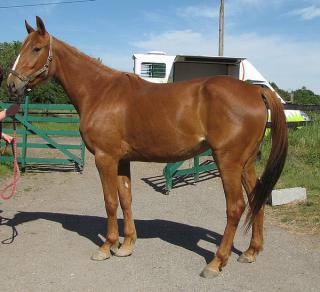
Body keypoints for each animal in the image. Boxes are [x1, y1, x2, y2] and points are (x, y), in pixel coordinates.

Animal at [6, 16, 288, 278]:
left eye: (36, 48)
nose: (12, 84)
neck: (100, 92)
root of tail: (255, 91)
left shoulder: (105, 158)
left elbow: (110, 201)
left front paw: (106, 247)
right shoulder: (122, 160)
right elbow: (126, 198)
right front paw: (126, 245)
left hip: (228, 161)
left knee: (236, 206)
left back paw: (216, 262)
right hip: (246, 163)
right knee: (256, 198)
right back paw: (250, 252)